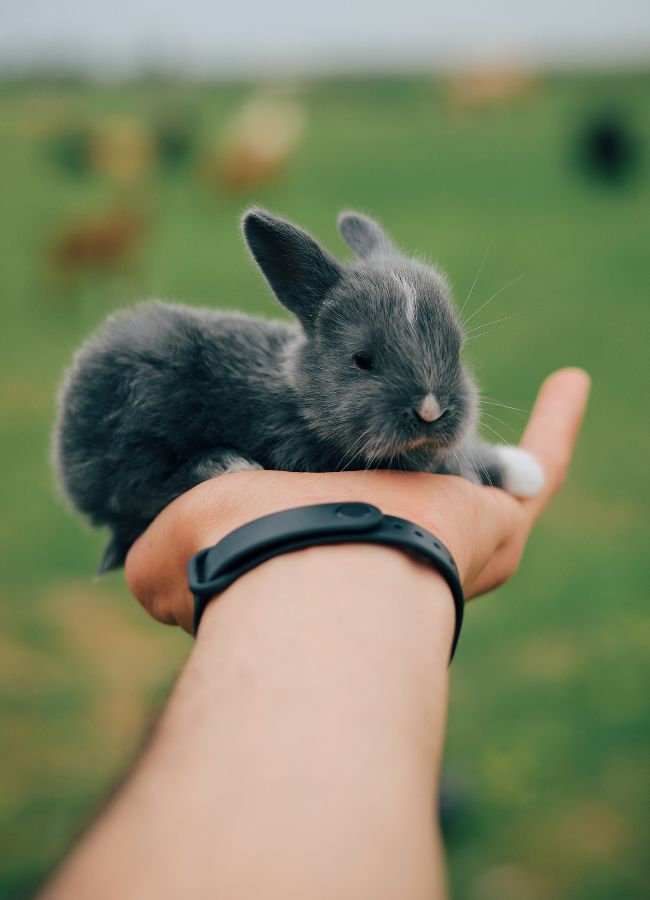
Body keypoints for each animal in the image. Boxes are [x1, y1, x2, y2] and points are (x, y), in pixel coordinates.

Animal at [53, 208, 544, 573]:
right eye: (362, 360)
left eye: (456, 350)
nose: (430, 410)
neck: (303, 398)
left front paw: (525, 470)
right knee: (137, 494)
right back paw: (223, 463)